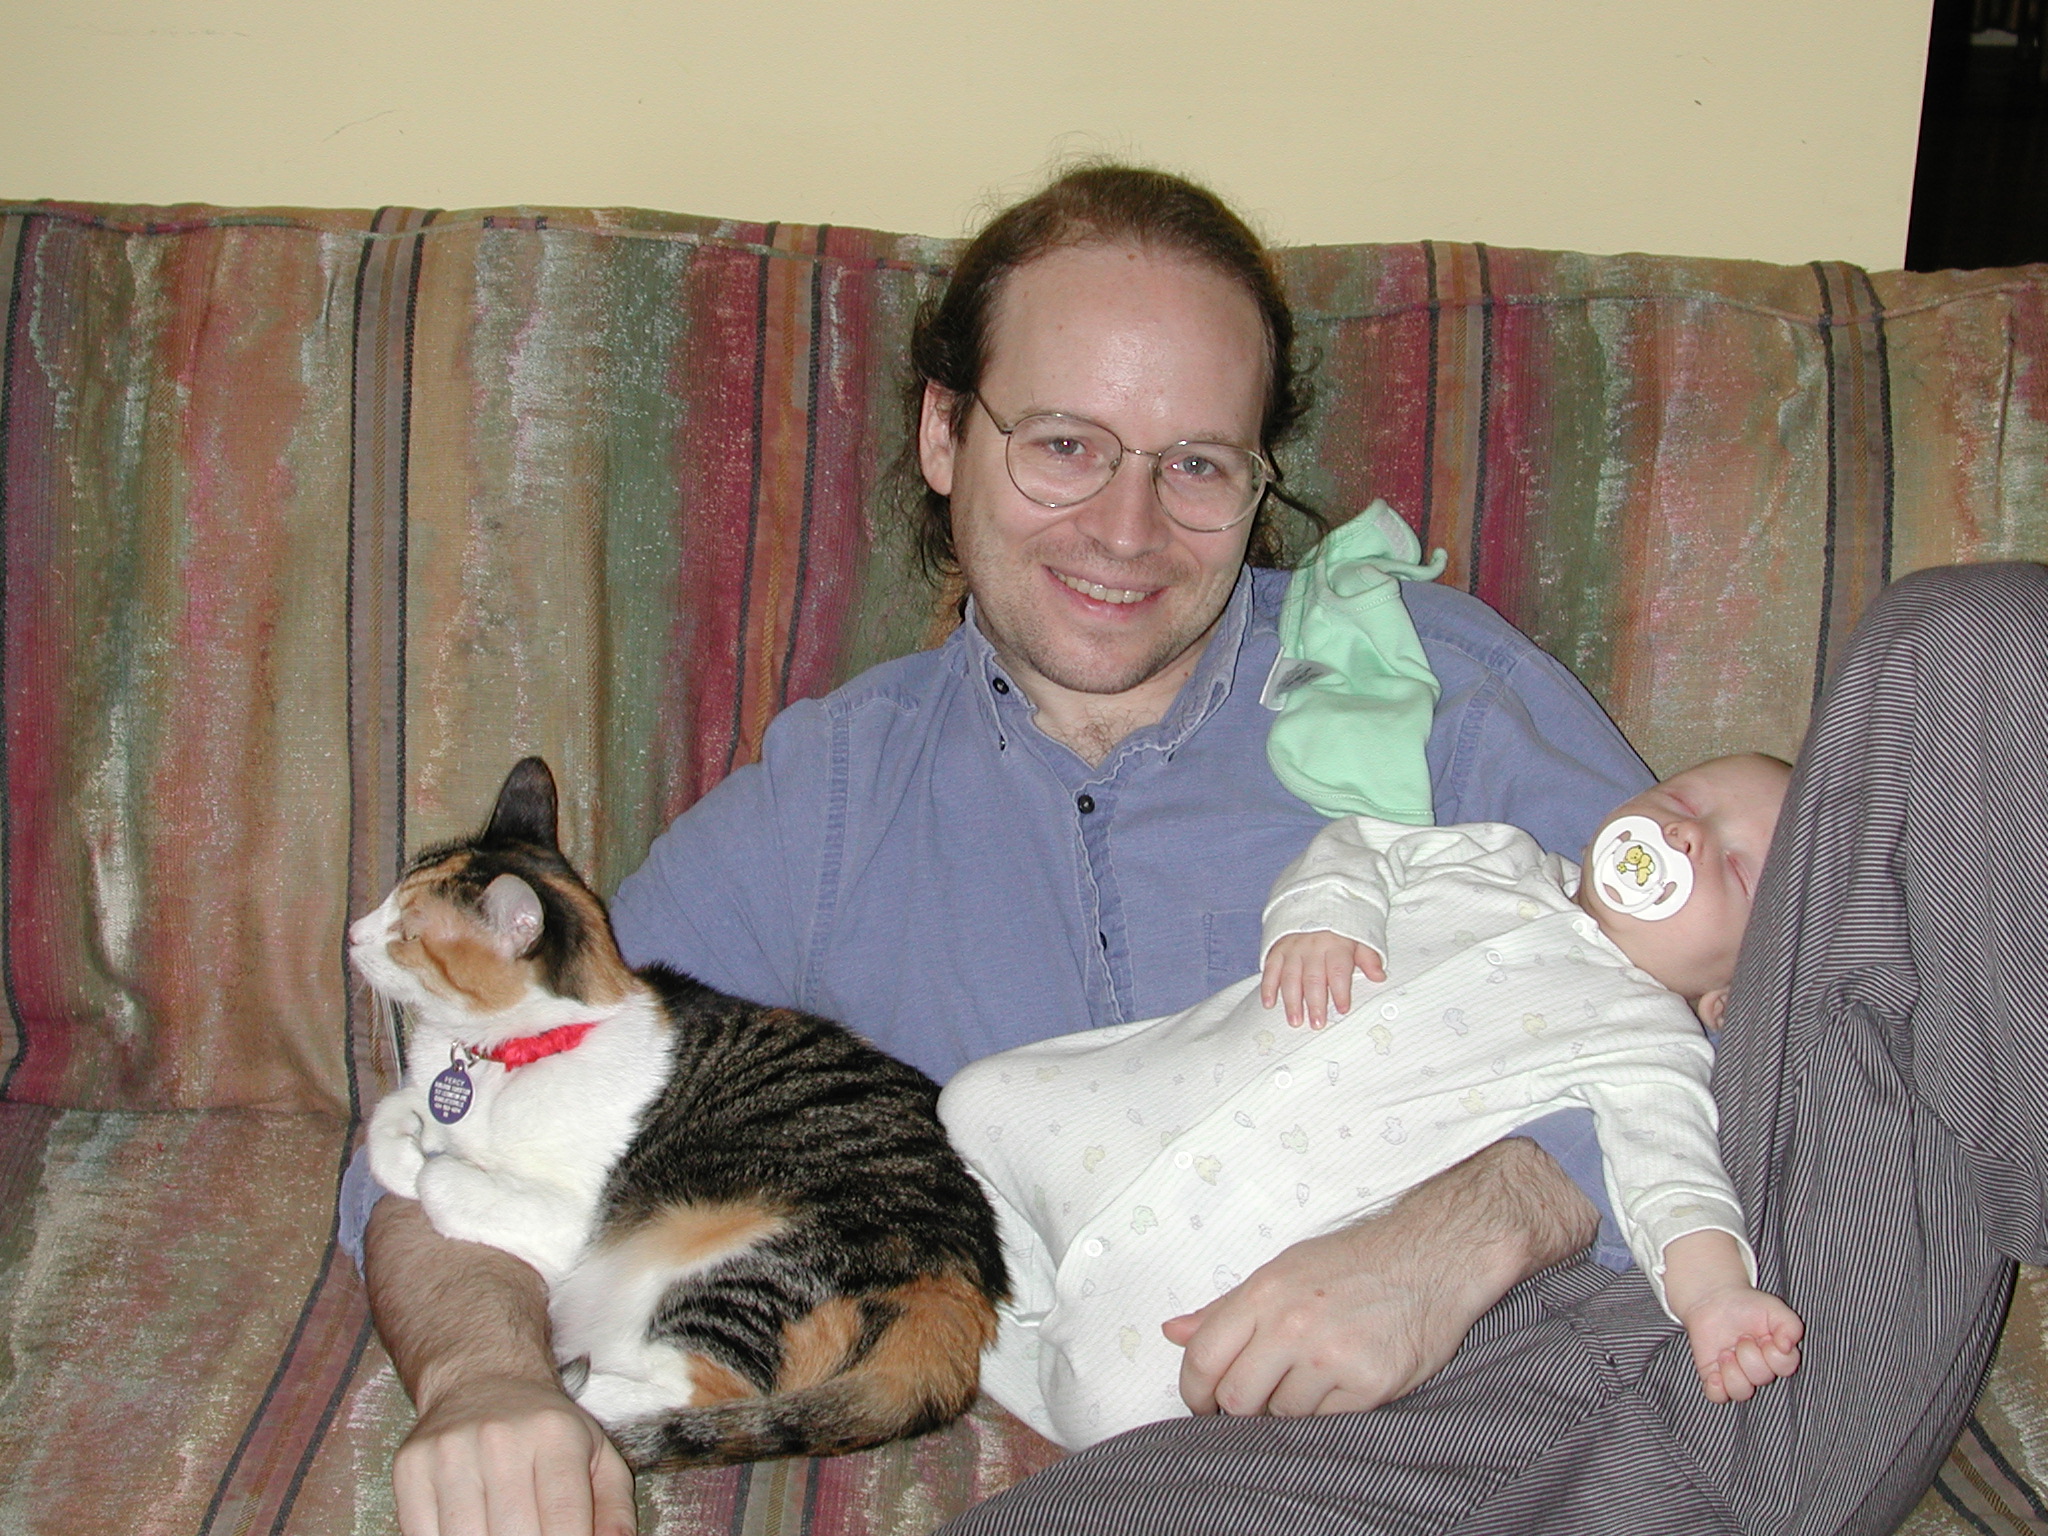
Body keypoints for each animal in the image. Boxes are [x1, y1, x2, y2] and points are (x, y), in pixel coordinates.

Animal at [354, 756, 1007, 1466]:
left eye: (405, 933)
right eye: (388, 900)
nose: (353, 934)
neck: (511, 1053)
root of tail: (963, 1301)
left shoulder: (574, 1217)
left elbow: (439, 1179)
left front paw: (435, 1165)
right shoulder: (423, 1097)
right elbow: (387, 1124)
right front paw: (407, 1147)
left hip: (737, 1265)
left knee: (700, 1388)